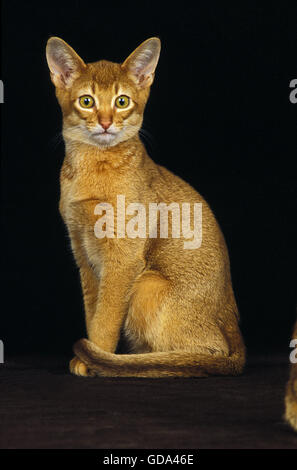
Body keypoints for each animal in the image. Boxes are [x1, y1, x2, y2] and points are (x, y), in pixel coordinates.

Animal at [46, 36, 245, 378]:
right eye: (86, 101)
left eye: (122, 101)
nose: (106, 123)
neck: (92, 168)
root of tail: (236, 332)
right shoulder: (83, 254)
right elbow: (93, 312)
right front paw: (91, 355)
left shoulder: (123, 258)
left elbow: (106, 318)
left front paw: (93, 356)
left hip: (147, 283)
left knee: (209, 351)